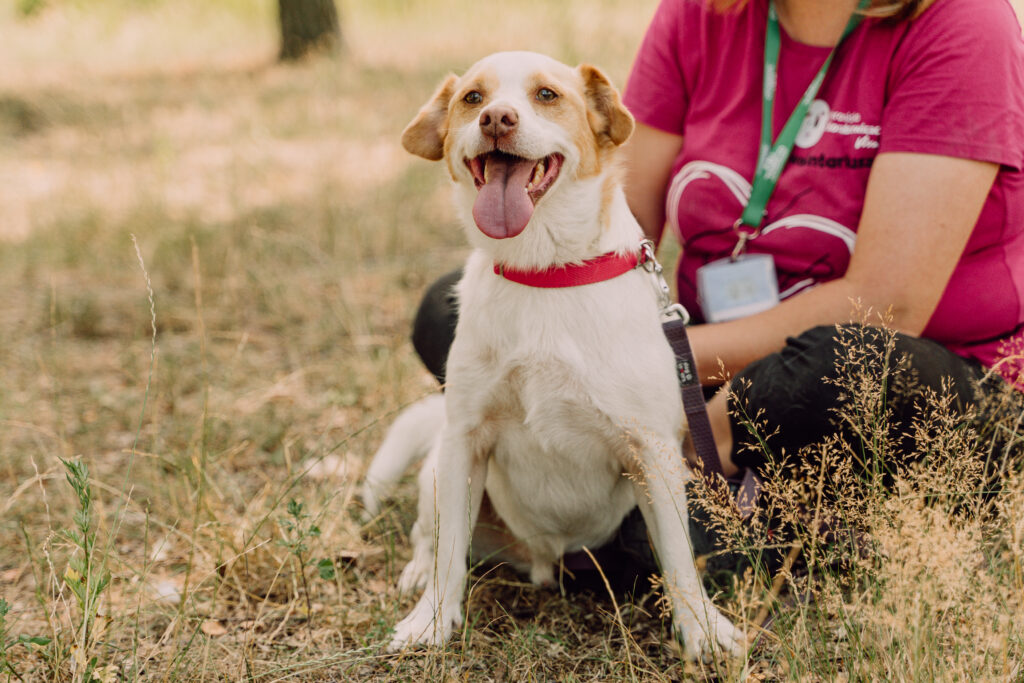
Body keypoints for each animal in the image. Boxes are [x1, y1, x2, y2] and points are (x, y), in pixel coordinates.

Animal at [362, 50, 745, 659]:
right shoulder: (465, 439)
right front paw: (432, 622)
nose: (496, 118)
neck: (542, 270)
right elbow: (449, 555)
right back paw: (418, 574)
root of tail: (541, 561)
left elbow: (681, 561)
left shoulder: (654, 451)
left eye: (546, 95)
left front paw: (702, 629)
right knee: (431, 537)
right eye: (472, 97)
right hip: (438, 469)